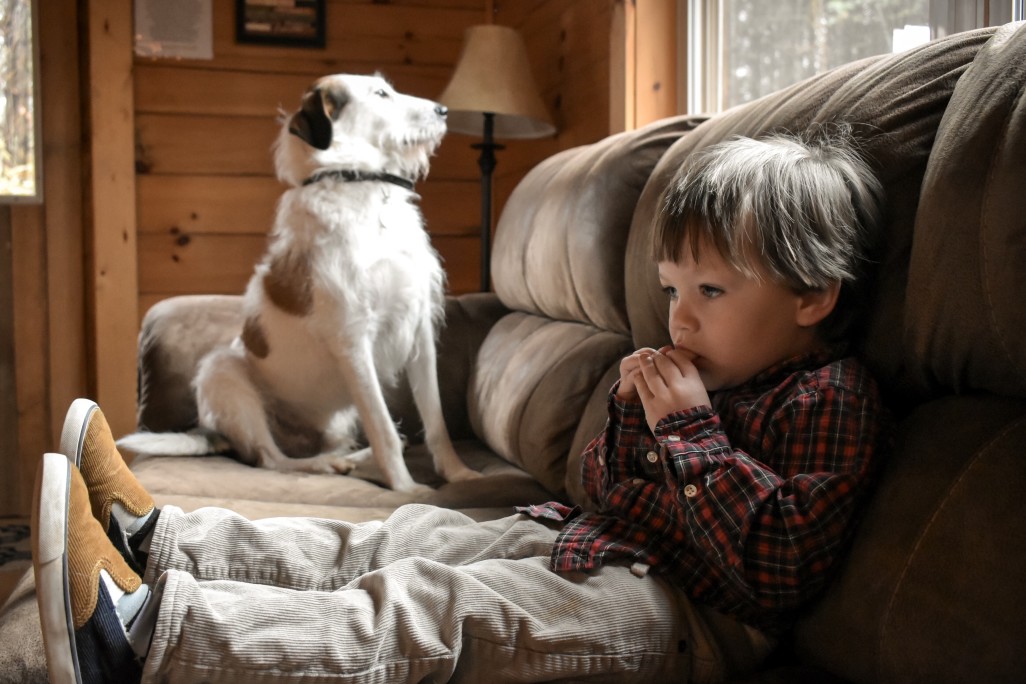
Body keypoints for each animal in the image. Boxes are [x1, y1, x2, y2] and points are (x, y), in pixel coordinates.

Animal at [117, 73, 478, 492]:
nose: (444, 111)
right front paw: (407, 490)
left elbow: (435, 421)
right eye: (380, 94)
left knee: (332, 445)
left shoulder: (419, 330)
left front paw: (459, 475)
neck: (360, 187)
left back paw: (353, 458)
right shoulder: (354, 341)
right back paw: (325, 464)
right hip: (222, 373)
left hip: (336, 417)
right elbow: (383, 426)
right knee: (273, 460)